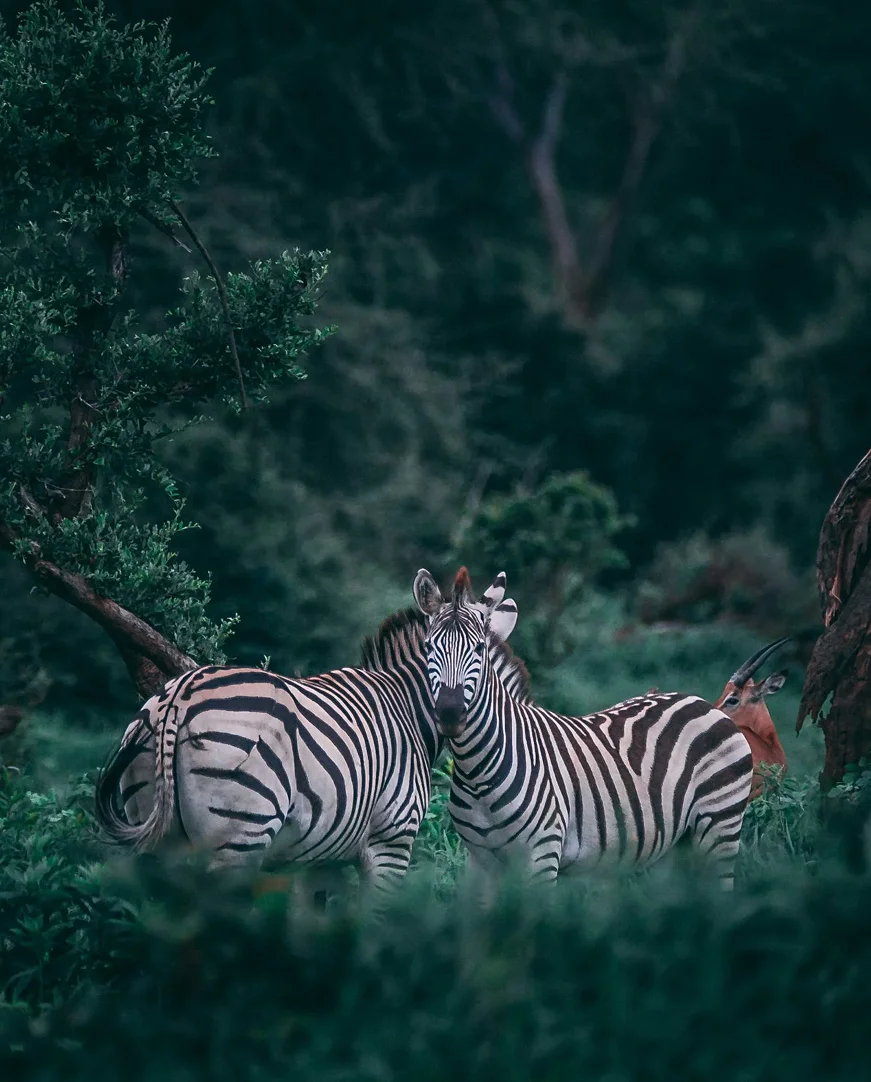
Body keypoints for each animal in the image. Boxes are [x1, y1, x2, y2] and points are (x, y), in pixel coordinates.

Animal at [94, 591, 524, 896]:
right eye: (434, 650)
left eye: (479, 652)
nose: (450, 713)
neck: (407, 707)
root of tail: (180, 694)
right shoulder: (392, 840)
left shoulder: (321, 857)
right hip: (238, 837)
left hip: (154, 830)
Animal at [413, 566, 754, 891]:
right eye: (428, 647)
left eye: (479, 649)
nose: (450, 713)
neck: (478, 773)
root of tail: (701, 702)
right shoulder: (480, 861)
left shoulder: (542, 855)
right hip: (674, 845)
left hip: (720, 826)